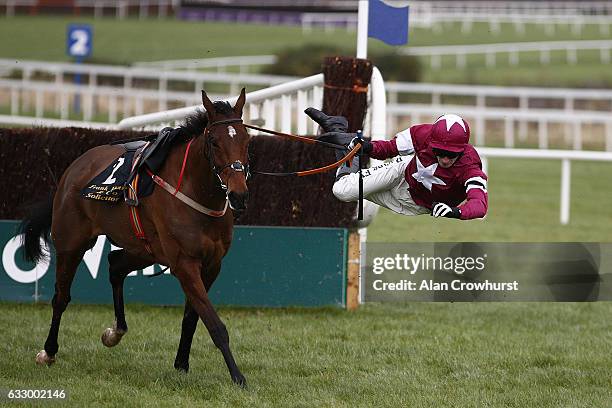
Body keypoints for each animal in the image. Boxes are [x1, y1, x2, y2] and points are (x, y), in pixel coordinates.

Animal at [20, 88, 251, 386]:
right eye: (214, 142)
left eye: (246, 139)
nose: (239, 194)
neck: (196, 193)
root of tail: (74, 168)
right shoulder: (184, 263)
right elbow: (214, 323)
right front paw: (237, 376)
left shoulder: (212, 264)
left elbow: (192, 317)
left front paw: (181, 363)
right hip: (72, 243)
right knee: (61, 297)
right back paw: (48, 351)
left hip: (145, 249)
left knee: (115, 264)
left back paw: (115, 332)